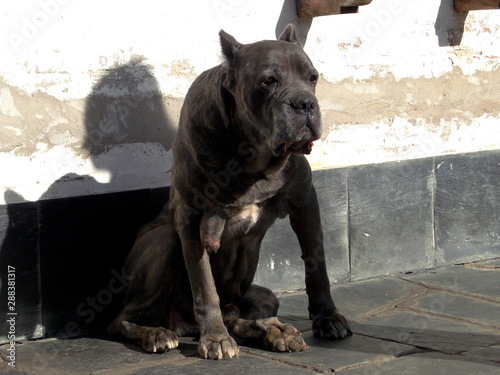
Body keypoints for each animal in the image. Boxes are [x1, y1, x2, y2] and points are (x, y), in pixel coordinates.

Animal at [109, 24, 352, 362]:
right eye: (268, 81)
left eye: (313, 77)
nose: (305, 103)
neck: (252, 155)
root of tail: (182, 323)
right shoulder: (190, 220)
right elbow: (204, 285)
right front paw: (215, 338)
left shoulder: (305, 200)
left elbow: (316, 262)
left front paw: (327, 317)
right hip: (166, 244)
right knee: (123, 319)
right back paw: (157, 334)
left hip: (259, 296)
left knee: (241, 315)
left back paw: (274, 333)